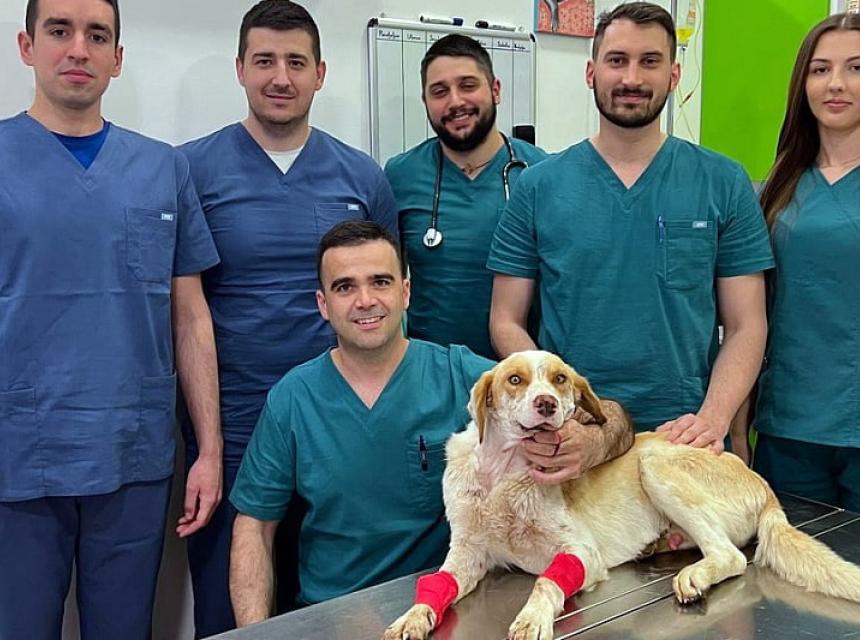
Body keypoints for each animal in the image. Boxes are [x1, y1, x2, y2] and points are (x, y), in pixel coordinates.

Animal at [383, 351, 860, 640]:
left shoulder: (579, 552)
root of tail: (765, 488)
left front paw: (532, 617)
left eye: (559, 379)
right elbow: (436, 584)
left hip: (655, 464)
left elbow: (544, 582)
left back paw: (694, 576)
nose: (546, 404)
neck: (504, 475)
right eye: (514, 380)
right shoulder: (468, 554)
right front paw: (412, 617)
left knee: (731, 556)